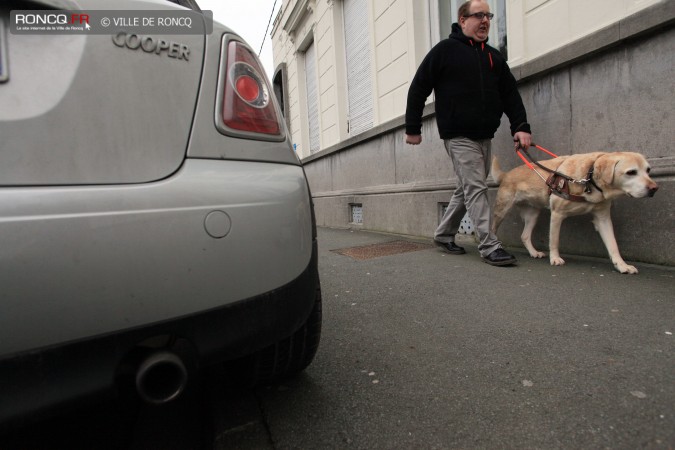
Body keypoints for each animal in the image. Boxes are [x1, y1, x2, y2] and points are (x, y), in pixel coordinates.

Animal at [494, 151, 656, 272]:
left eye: (648, 170)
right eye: (631, 172)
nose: (654, 188)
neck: (589, 178)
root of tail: (506, 174)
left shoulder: (603, 218)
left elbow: (613, 245)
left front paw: (622, 265)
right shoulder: (557, 214)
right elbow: (554, 240)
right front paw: (555, 258)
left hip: (532, 214)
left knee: (525, 236)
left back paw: (533, 252)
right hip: (502, 210)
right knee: (492, 229)